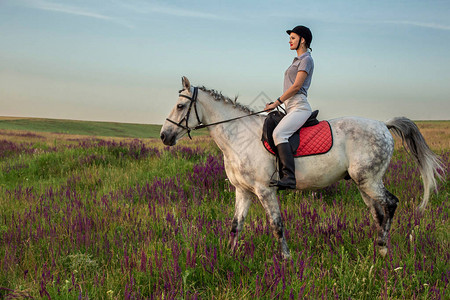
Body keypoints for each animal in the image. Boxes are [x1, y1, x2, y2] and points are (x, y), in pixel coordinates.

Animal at [161, 76, 442, 256]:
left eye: (180, 106)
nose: (164, 136)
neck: (239, 136)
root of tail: (384, 125)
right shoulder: (243, 191)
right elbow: (235, 225)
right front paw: (229, 257)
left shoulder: (265, 190)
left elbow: (277, 225)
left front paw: (286, 259)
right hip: (364, 184)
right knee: (379, 212)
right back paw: (378, 247)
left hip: (369, 180)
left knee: (391, 204)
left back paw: (383, 248)